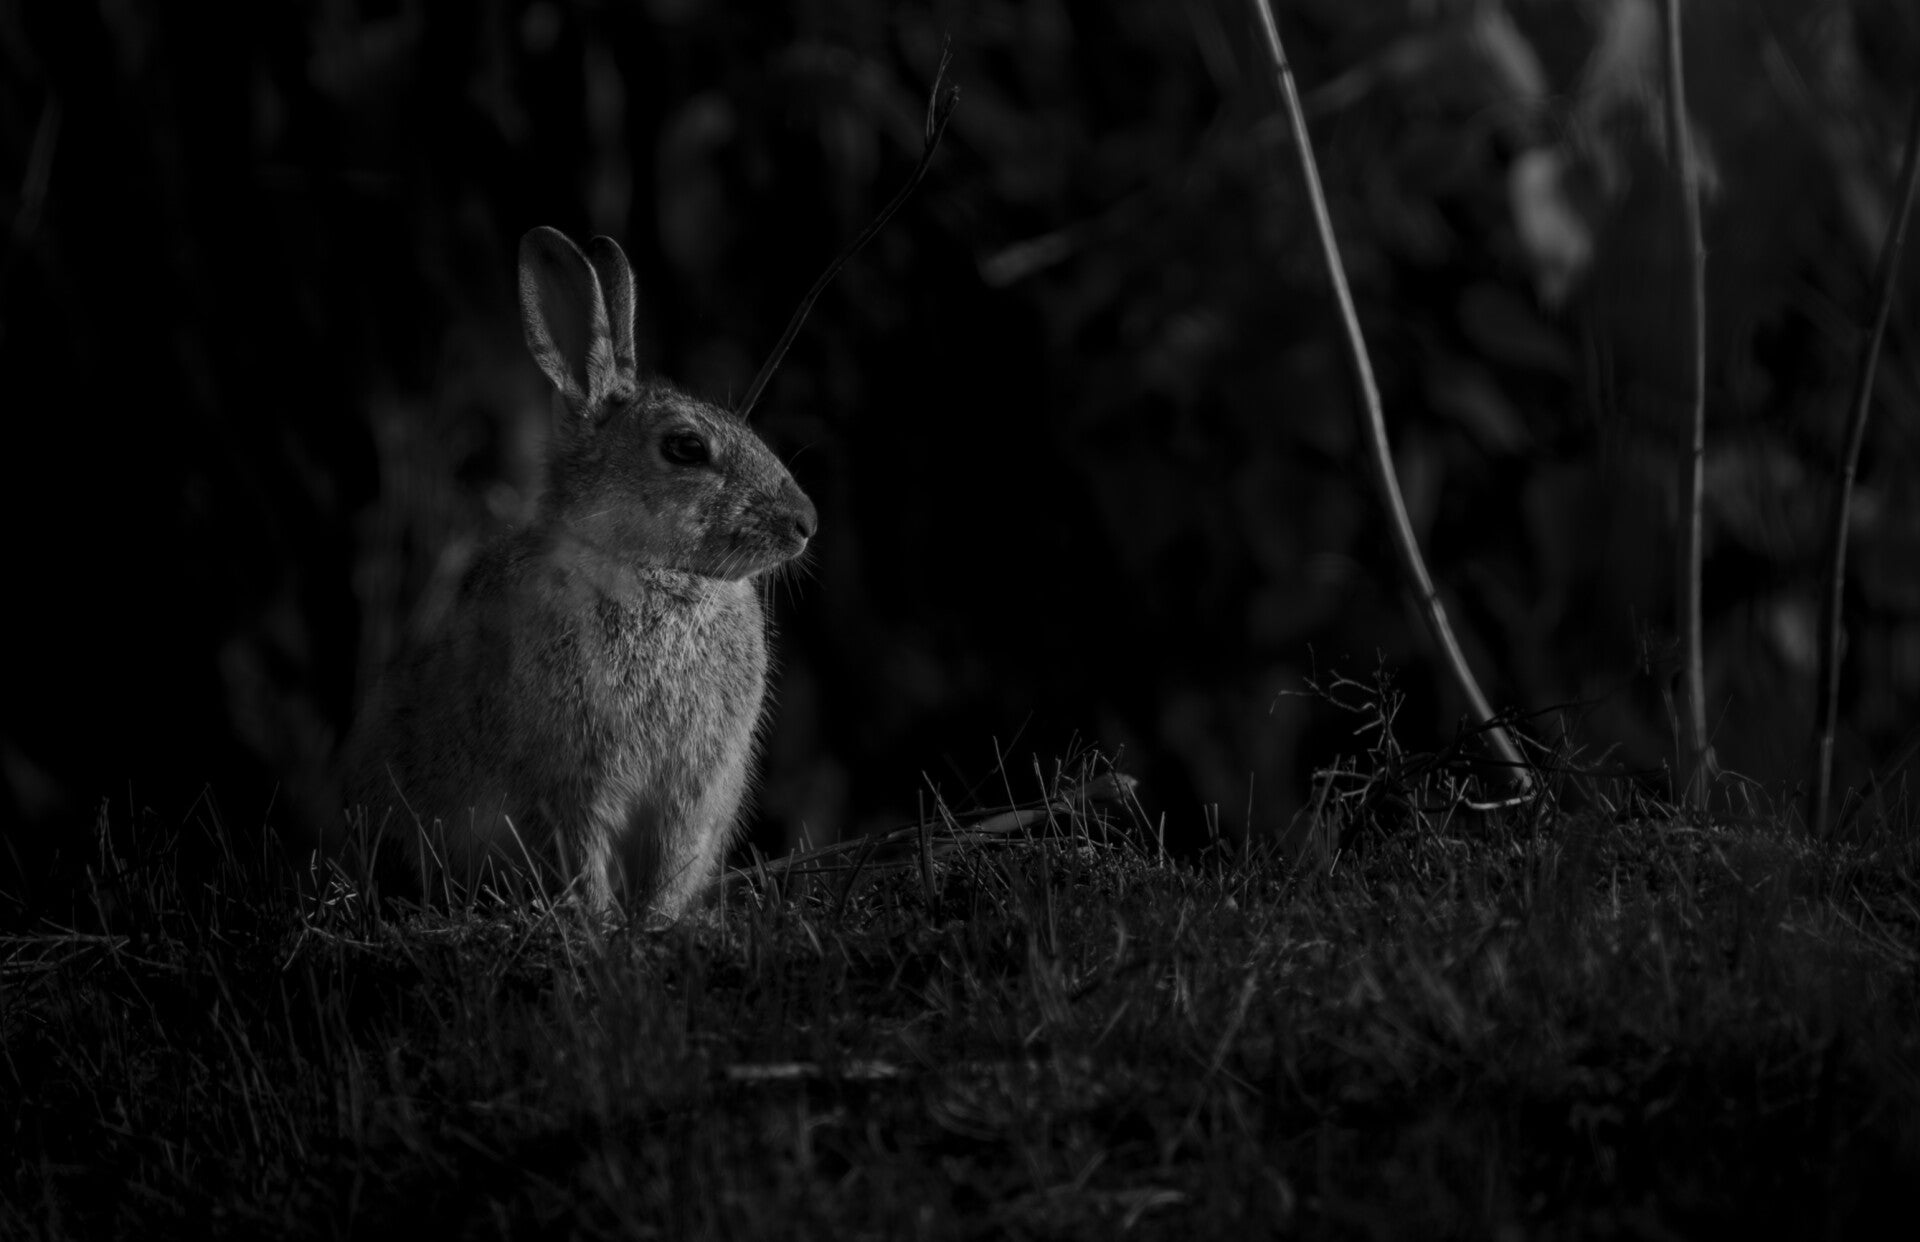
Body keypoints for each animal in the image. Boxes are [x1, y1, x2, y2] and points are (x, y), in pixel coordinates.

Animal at [338, 226, 817, 917]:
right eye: (686, 448)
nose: (806, 522)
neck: (653, 572)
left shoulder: (693, 789)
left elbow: (673, 856)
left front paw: (659, 922)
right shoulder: (572, 778)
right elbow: (583, 848)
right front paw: (600, 922)